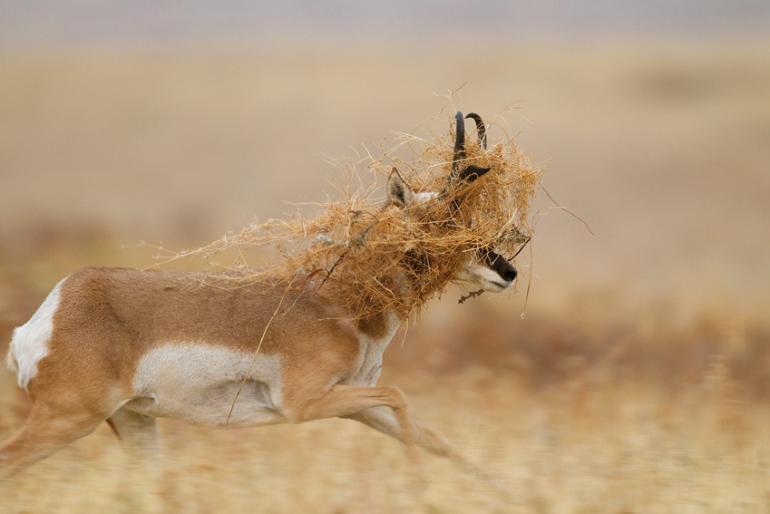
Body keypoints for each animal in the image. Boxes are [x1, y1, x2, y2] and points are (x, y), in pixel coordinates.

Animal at [1, 112, 516, 476]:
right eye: (442, 222)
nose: (507, 270)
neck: (338, 303)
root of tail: (50, 314)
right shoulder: (306, 404)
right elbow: (401, 399)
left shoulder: (354, 401)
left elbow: (436, 438)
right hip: (68, 418)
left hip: (134, 422)